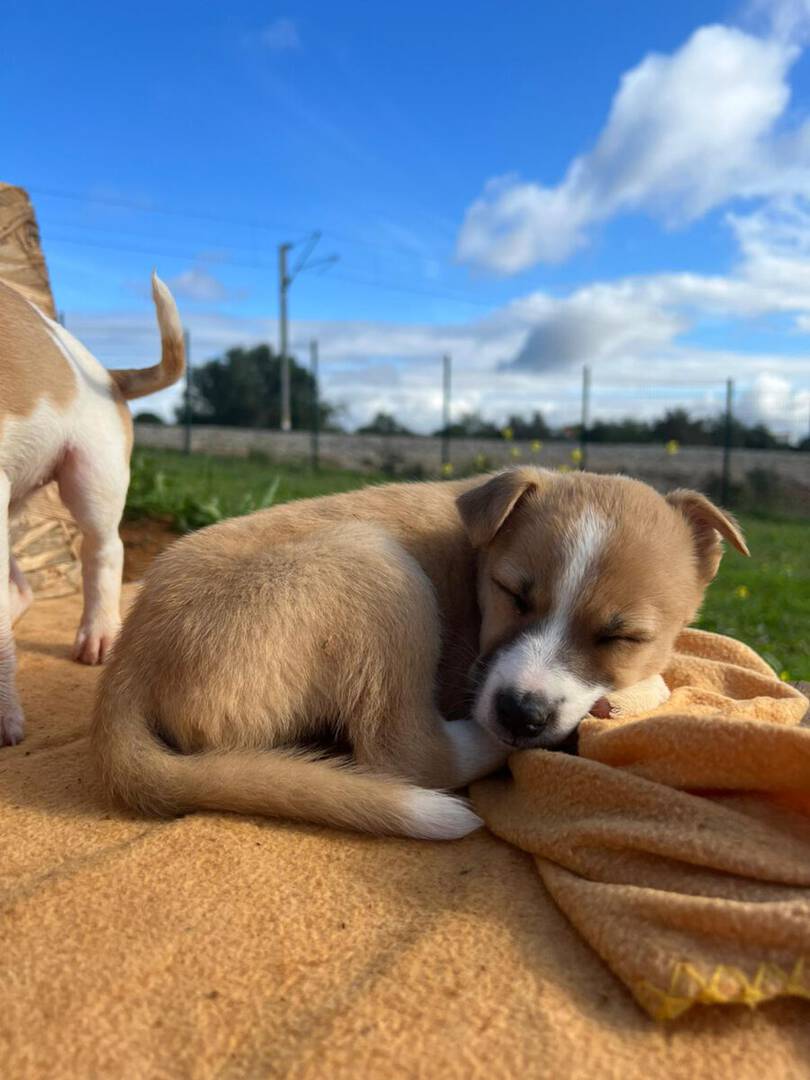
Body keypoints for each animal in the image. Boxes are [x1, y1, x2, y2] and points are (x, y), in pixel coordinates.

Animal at [91, 466, 747, 839]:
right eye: (513, 593)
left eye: (622, 637)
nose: (521, 714)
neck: (475, 557)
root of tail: (127, 666)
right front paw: (633, 694)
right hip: (374, 566)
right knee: (408, 753)